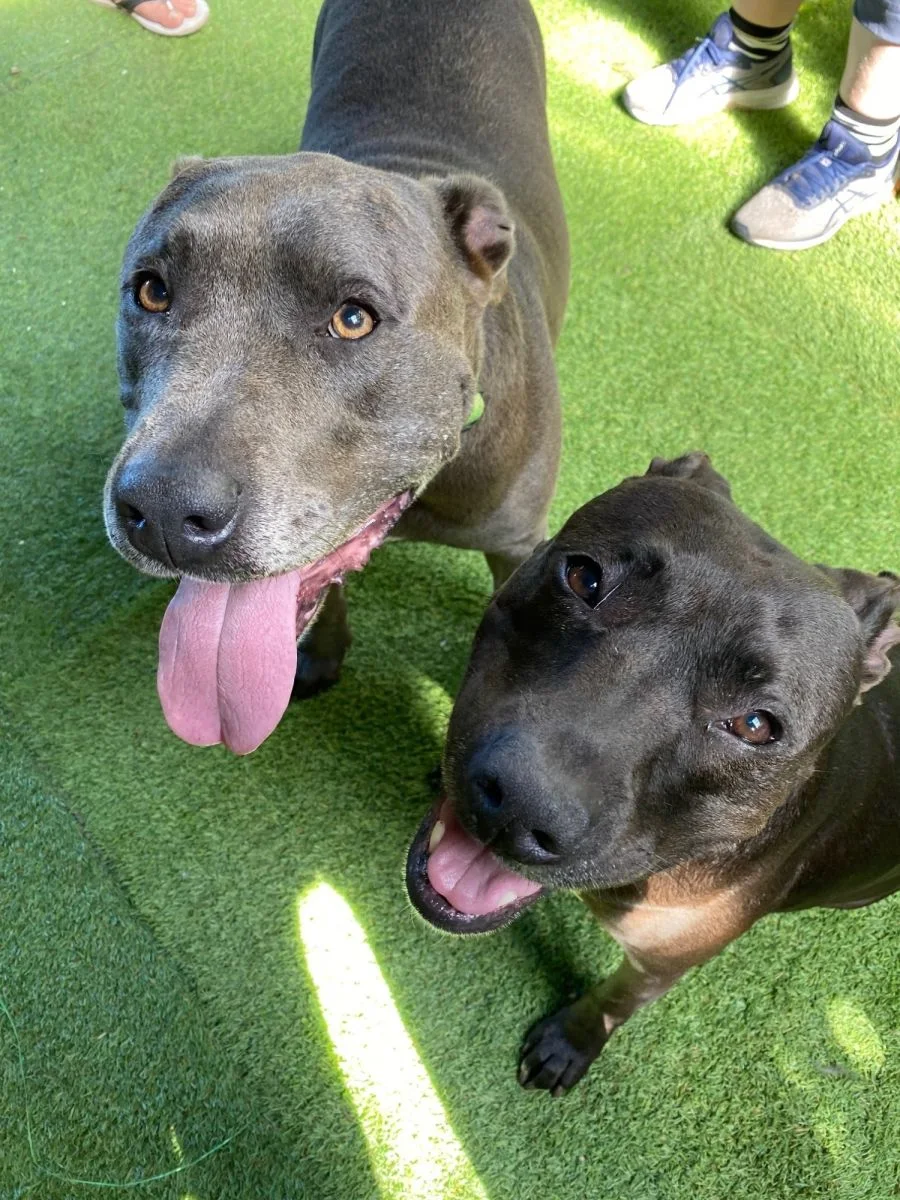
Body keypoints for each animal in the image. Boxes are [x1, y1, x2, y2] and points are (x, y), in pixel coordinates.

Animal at [408, 451, 900, 1099]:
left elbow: (616, 1000)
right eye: (584, 578)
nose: (519, 805)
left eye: (755, 725)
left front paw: (572, 1040)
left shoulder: (659, 964)